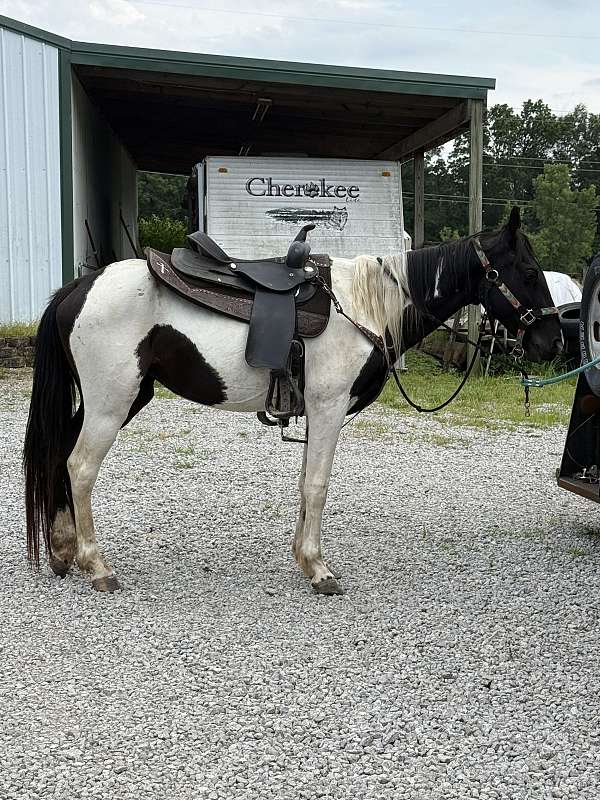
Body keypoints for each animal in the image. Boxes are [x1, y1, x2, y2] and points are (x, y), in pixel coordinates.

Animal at [23, 207, 562, 595]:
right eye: (529, 271)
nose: (554, 342)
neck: (364, 307)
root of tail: (78, 287)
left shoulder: (317, 413)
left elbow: (305, 483)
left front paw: (303, 559)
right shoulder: (329, 408)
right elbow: (318, 486)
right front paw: (320, 570)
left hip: (122, 398)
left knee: (57, 455)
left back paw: (62, 551)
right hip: (111, 404)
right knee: (80, 467)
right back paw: (97, 566)